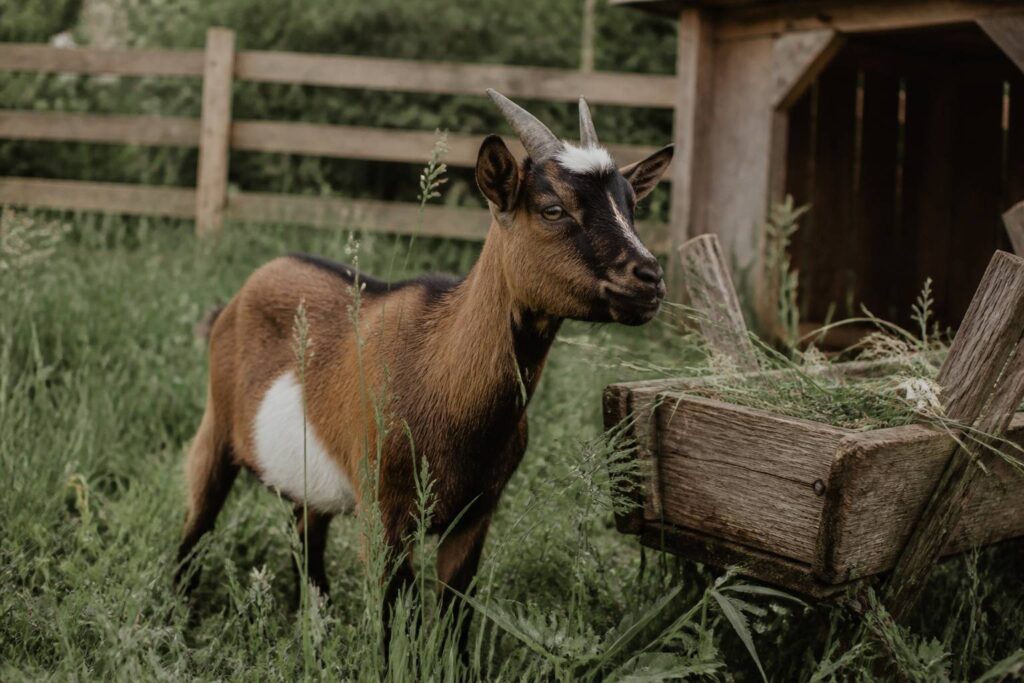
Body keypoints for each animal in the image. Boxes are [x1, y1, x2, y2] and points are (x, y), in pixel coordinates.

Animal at [174, 89, 673, 650]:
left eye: (632, 205)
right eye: (552, 208)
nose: (649, 278)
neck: (442, 374)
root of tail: (239, 297)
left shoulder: (475, 516)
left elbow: (454, 617)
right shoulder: (384, 513)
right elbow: (397, 620)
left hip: (308, 478)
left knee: (307, 542)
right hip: (216, 427)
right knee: (198, 521)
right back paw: (174, 621)